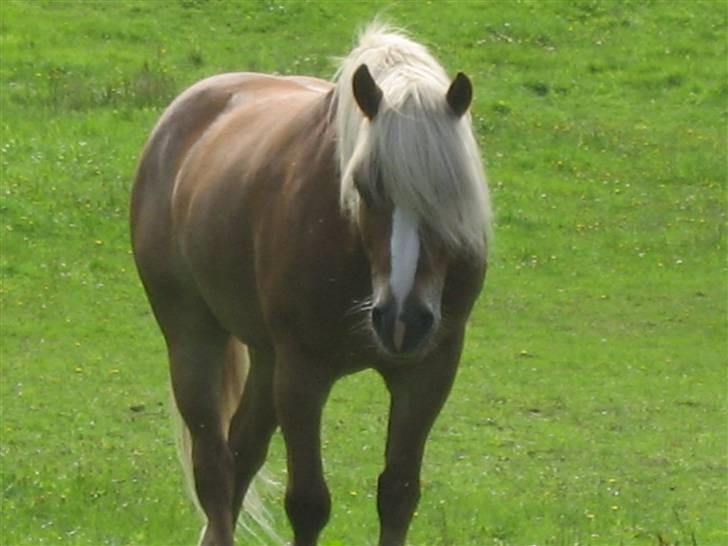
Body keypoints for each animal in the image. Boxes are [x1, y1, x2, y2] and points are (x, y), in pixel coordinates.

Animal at [132, 22, 494, 544]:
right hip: (194, 337)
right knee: (214, 466)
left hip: (267, 358)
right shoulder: (303, 373)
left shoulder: (428, 373)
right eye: (364, 187)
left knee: (241, 454)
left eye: (450, 192)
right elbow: (307, 503)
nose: (402, 319)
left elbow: (399, 493)